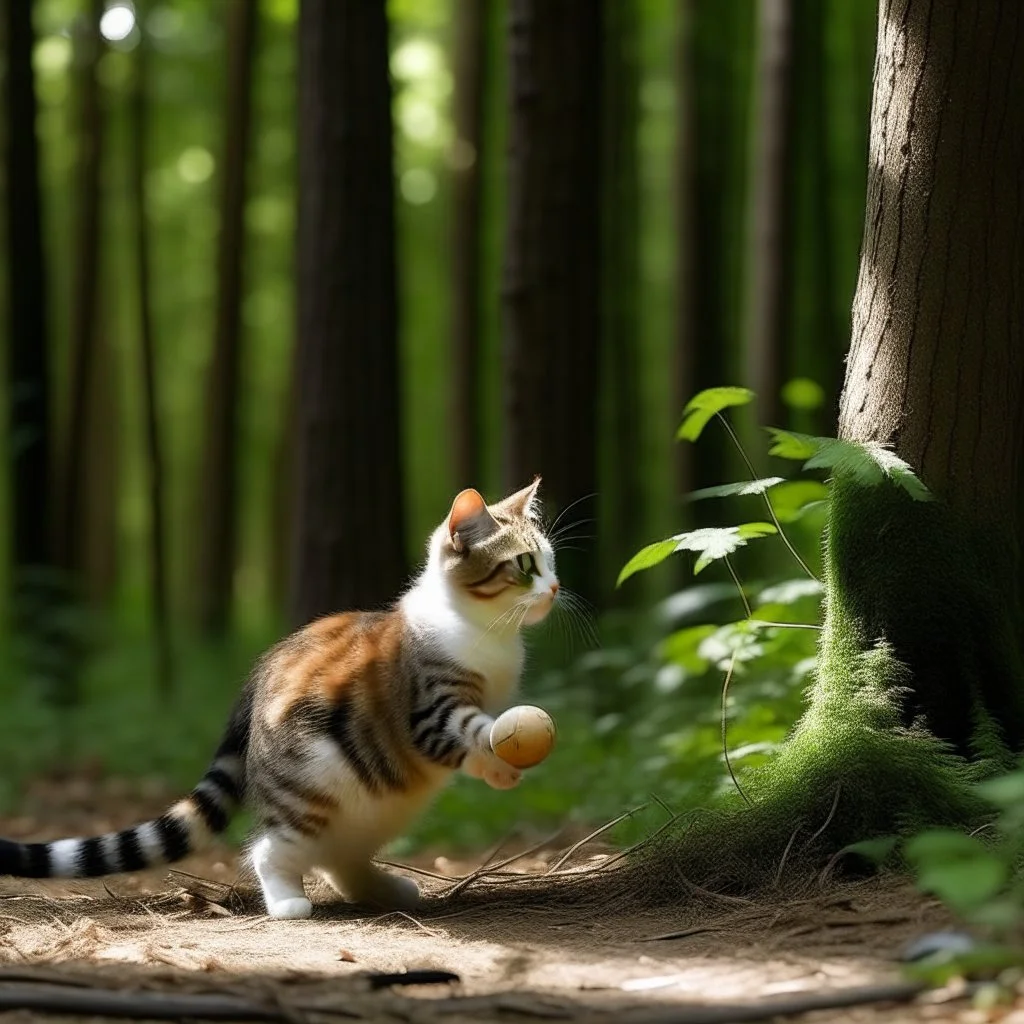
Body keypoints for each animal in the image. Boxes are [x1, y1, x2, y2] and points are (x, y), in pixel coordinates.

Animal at [0, 479, 561, 921]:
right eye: (524, 565)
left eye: (551, 563)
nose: (554, 587)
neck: (488, 631)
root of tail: (256, 677)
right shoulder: (428, 708)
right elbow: (475, 729)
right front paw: (500, 757)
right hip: (314, 780)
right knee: (269, 847)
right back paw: (288, 902)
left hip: (380, 804)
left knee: (340, 858)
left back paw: (384, 889)